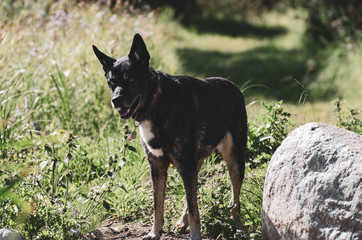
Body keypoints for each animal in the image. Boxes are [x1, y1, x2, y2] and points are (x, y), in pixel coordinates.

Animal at [92, 33, 249, 240]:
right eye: (111, 82)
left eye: (131, 79)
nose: (116, 100)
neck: (155, 103)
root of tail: (231, 84)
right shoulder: (158, 166)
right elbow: (159, 204)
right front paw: (155, 232)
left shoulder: (185, 166)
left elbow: (194, 207)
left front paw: (195, 235)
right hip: (196, 163)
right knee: (192, 196)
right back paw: (182, 222)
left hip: (234, 160)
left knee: (234, 198)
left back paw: (237, 226)